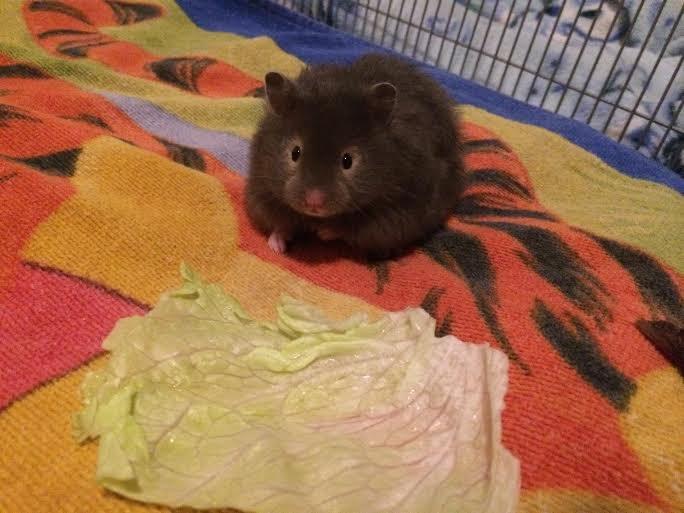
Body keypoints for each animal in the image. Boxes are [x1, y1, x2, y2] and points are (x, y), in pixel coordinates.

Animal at [246, 53, 464, 259]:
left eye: (348, 161)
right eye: (295, 153)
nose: (314, 203)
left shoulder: (397, 211)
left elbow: (350, 228)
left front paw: (322, 232)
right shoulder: (261, 187)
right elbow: (280, 222)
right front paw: (276, 247)